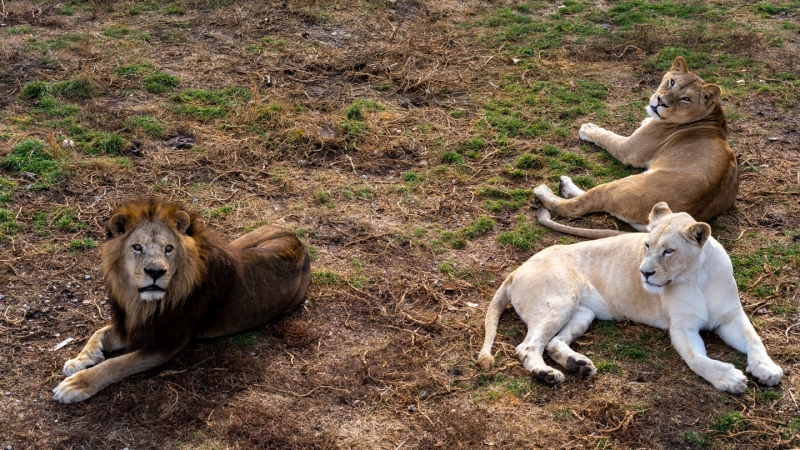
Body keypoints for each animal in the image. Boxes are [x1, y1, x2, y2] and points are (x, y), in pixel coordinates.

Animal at [53, 199, 310, 402]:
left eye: (169, 248)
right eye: (136, 247)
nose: (155, 272)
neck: (142, 302)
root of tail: (298, 241)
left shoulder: (165, 343)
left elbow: (116, 364)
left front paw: (77, 384)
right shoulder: (134, 324)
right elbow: (99, 332)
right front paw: (80, 359)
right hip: (239, 243)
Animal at [478, 202, 784, 392]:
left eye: (668, 251)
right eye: (647, 245)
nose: (643, 273)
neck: (696, 276)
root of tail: (517, 269)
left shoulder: (731, 317)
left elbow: (754, 340)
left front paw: (767, 369)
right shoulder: (682, 328)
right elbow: (696, 360)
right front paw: (729, 378)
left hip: (583, 312)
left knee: (553, 343)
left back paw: (579, 366)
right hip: (559, 303)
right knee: (527, 346)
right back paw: (547, 375)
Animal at [532, 56, 736, 239]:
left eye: (686, 99)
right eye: (671, 82)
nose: (660, 102)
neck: (711, 116)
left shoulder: (629, 151)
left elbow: (608, 137)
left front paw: (589, 129)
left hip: (621, 186)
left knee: (575, 207)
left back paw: (544, 192)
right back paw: (564, 186)